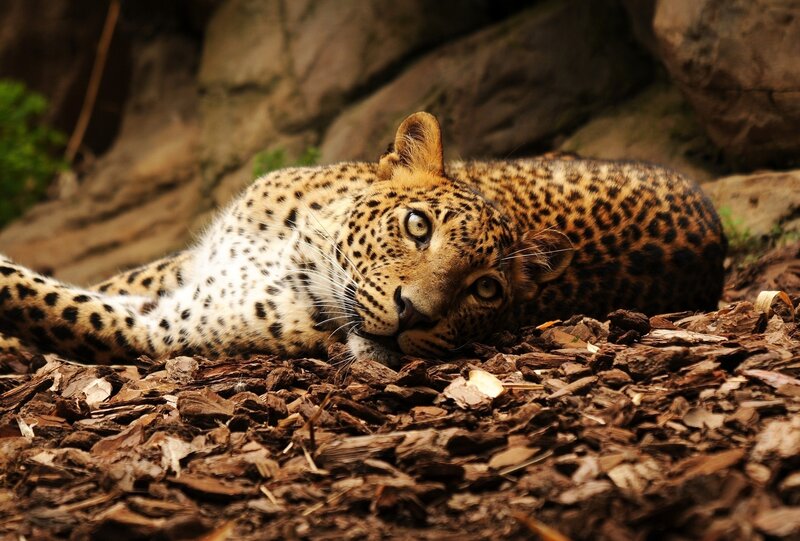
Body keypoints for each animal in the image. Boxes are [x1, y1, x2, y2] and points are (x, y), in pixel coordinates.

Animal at [0, 112, 726, 367]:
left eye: (485, 290)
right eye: (418, 226)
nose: (415, 317)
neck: (296, 250)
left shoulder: (160, 329)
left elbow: (41, 299)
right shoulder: (189, 265)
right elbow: (105, 280)